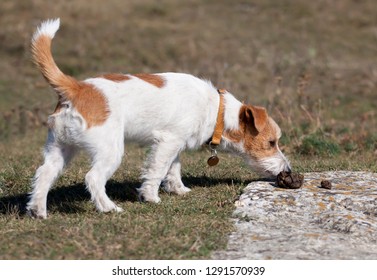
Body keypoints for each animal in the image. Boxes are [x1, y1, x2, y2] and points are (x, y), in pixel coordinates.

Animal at [26, 18, 290, 219]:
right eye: (271, 143)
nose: (288, 170)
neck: (217, 111)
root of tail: (76, 88)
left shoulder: (174, 144)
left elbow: (173, 169)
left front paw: (179, 190)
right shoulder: (168, 142)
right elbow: (157, 170)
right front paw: (151, 197)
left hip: (60, 148)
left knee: (44, 174)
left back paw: (38, 211)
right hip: (110, 150)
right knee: (93, 178)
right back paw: (108, 207)